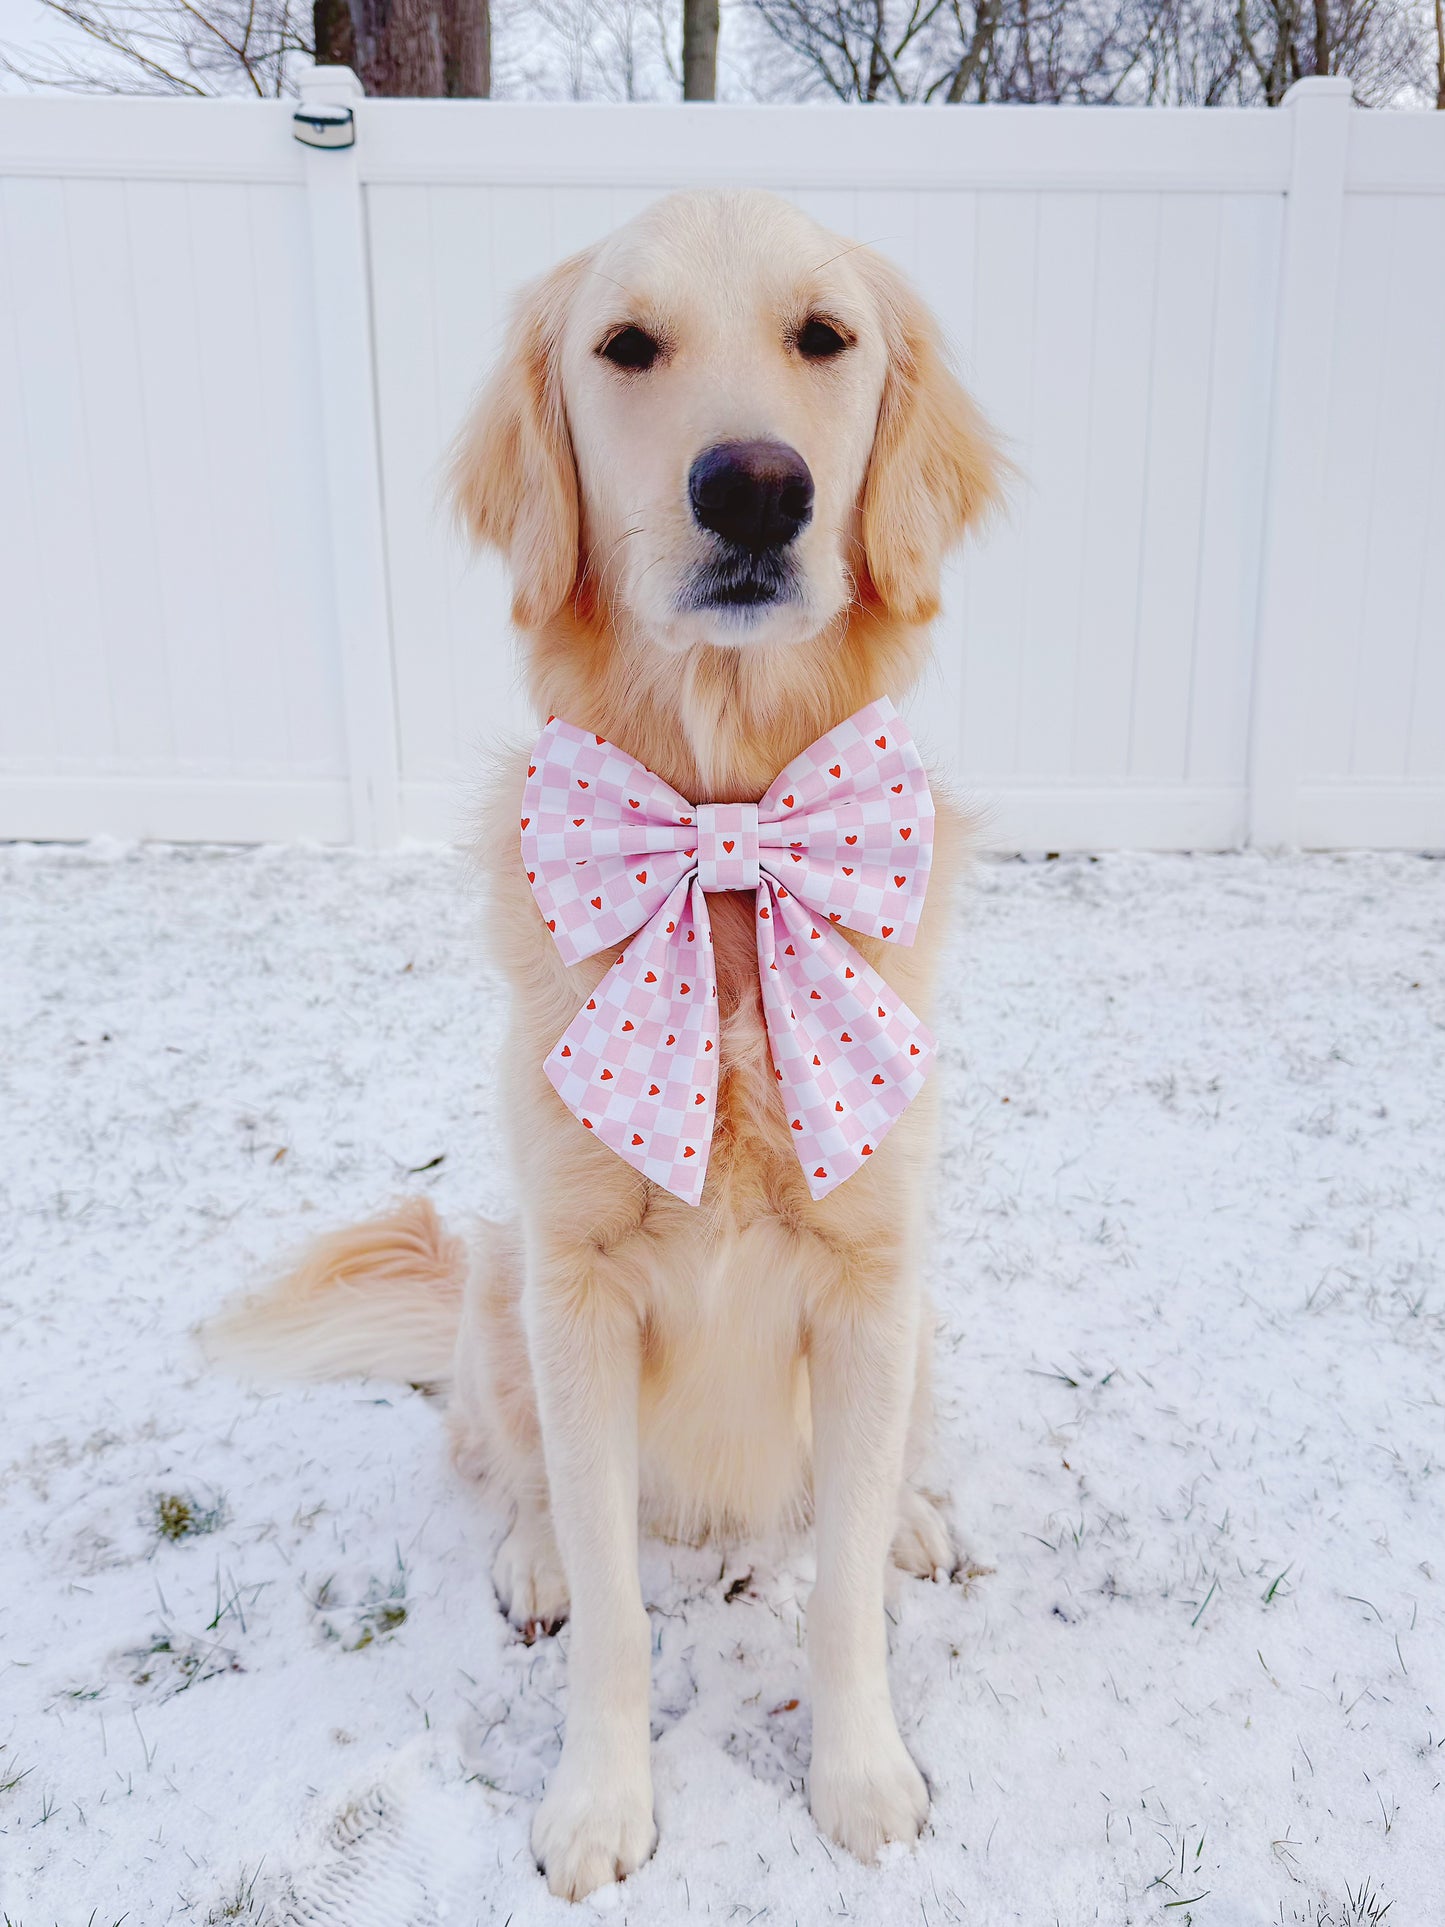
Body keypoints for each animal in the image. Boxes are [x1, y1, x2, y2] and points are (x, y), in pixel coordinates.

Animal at [211, 187, 1009, 1903]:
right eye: (627, 346)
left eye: (825, 338)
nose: (755, 485)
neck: (720, 837)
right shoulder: (576, 1294)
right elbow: (623, 1619)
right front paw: (597, 1804)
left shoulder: (871, 1280)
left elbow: (838, 1582)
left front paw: (859, 1774)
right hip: (502, 1294)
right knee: (514, 1475)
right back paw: (532, 1561)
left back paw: (920, 1514)